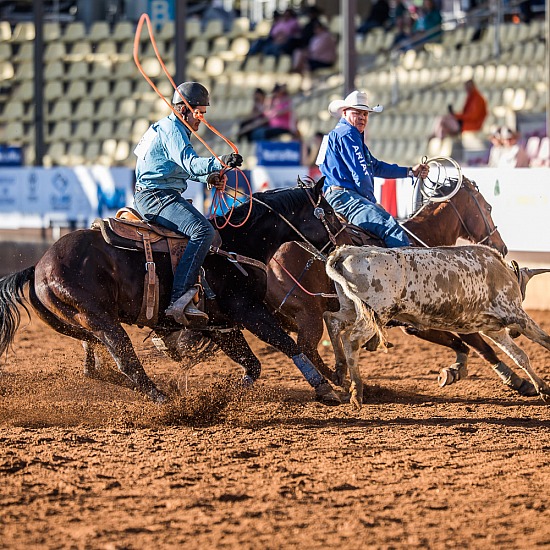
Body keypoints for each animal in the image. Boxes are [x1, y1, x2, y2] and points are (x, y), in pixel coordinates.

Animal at [0, 180, 344, 406]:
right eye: (329, 212)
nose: (347, 238)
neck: (237, 244)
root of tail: (40, 266)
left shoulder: (221, 324)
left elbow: (253, 365)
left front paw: (227, 394)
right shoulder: (249, 311)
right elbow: (288, 345)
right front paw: (324, 389)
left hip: (85, 323)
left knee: (97, 363)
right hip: (100, 319)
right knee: (127, 362)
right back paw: (164, 400)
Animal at [266, 179, 540, 398]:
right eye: (488, 207)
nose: (501, 246)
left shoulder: (418, 324)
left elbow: (460, 344)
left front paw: (453, 371)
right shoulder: (437, 319)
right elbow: (480, 345)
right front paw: (518, 381)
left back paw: (341, 379)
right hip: (309, 316)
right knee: (305, 347)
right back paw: (337, 383)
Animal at [326, 246, 550, 410]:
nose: (515, 332)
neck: (501, 270)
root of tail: (348, 251)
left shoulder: (493, 329)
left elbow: (520, 356)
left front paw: (542, 388)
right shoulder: (515, 314)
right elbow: (545, 340)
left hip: (351, 308)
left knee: (332, 320)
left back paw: (339, 369)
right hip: (376, 313)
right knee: (351, 340)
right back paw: (357, 392)